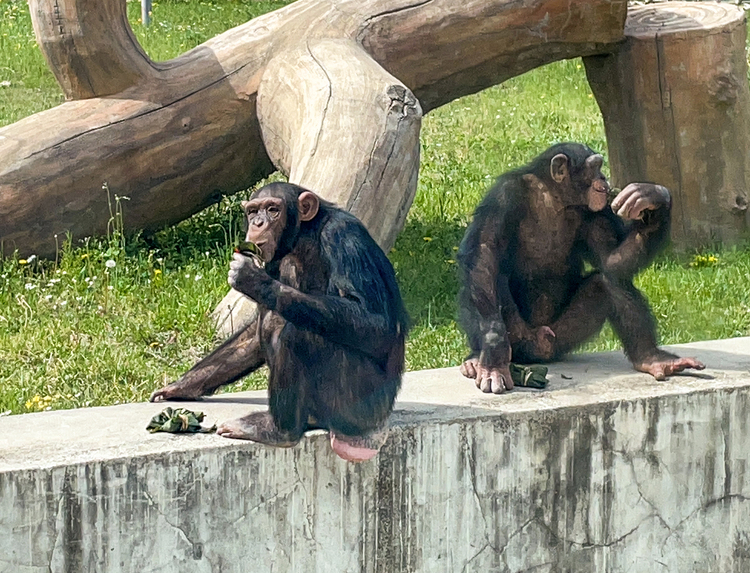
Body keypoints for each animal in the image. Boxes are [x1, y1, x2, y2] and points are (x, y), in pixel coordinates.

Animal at [151, 182, 412, 460]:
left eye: (273, 210)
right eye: (253, 211)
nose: (257, 223)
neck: (303, 237)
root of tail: (377, 429)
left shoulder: (343, 237)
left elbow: (374, 322)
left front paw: (252, 279)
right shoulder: (273, 262)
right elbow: (252, 335)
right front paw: (179, 387)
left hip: (359, 408)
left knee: (296, 334)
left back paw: (277, 431)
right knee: (274, 319)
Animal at [456, 143, 708, 394]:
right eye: (594, 167)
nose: (604, 177)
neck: (553, 197)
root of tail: (538, 348)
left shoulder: (595, 210)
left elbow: (611, 260)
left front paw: (652, 198)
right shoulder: (504, 196)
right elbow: (484, 254)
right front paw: (494, 352)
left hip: (560, 339)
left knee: (607, 283)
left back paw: (653, 358)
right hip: (519, 338)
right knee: (479, 287)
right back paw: (477, 359)